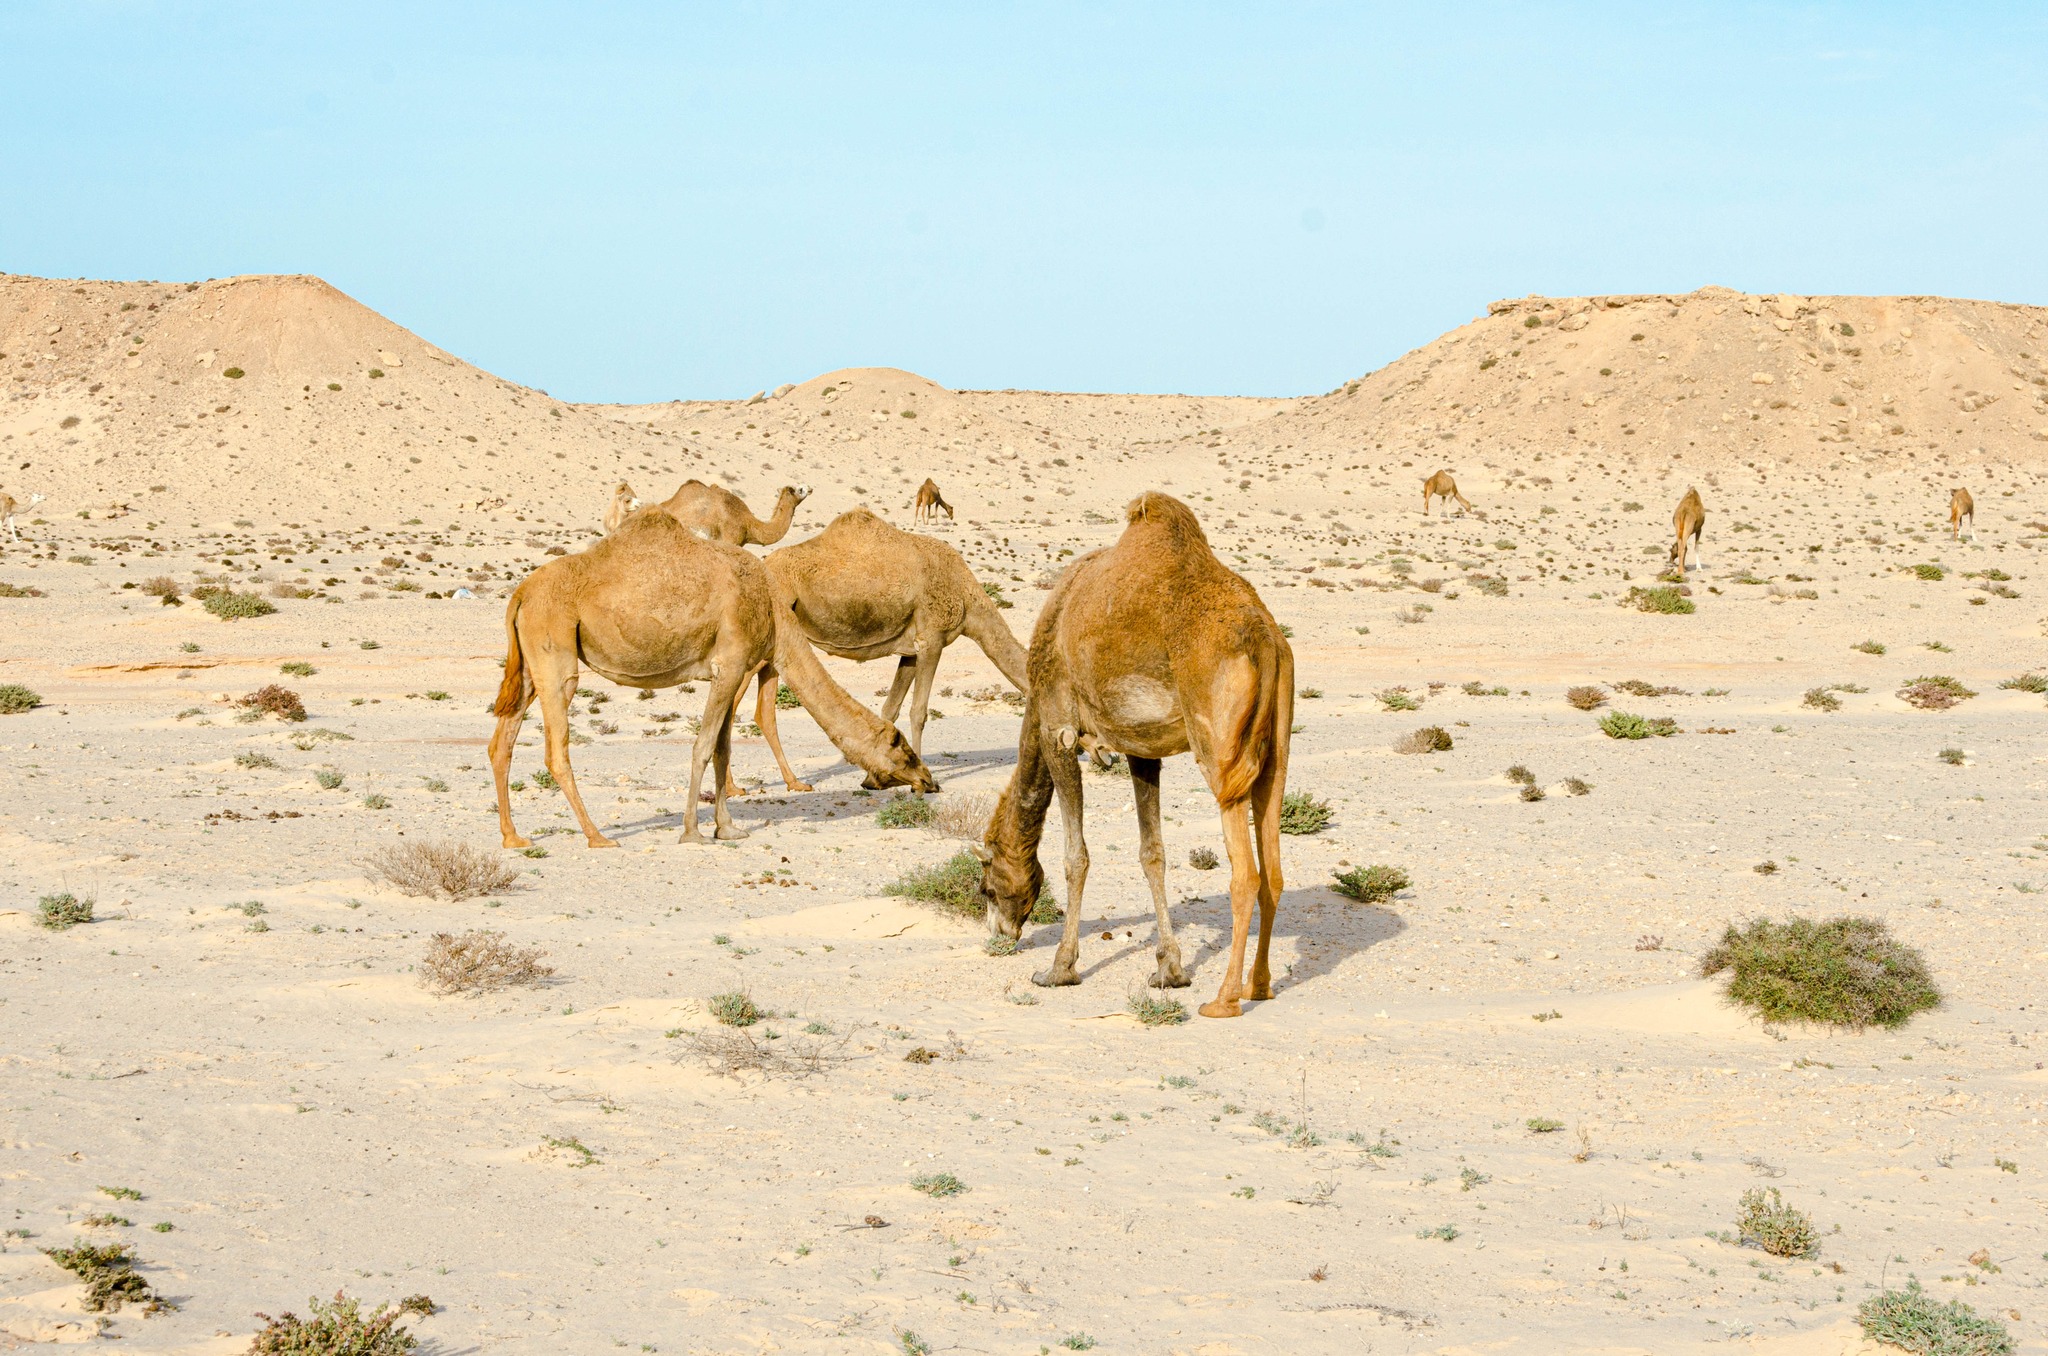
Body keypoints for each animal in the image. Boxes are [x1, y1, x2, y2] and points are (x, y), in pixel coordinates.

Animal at [483, 510, 933, 852]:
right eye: (904, 752)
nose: (929, 781)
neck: (772, 610)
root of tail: (520, 594)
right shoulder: (730, 665)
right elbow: (703, 748)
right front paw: (692, 832)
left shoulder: (734, 669)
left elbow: (722, 749)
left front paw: (727, 827)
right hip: (556, 653)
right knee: (556, 750)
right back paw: (598, 837)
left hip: (529, 665)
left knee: (502, 742)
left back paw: (513, 838)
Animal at [741, 507, 1032, 798]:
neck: (968, 601)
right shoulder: (932, 640)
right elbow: (918, 712)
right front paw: (927, 783)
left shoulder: (911, 650)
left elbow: (890, 708)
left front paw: (872, 779)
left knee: (762, 709)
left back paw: (792, 782)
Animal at [970, 491, 1286, 1020]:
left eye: (988, 884)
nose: (1001, 934)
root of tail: (1265, 639)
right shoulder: (1142, 747)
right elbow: (1152, 852)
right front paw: (1170, 971)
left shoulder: (1057, 728)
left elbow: (1076, 856)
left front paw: (1059, 969)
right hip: (1275, 753)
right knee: (1274, 867)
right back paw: (1259, 986)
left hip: (1218, 749)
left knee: (1245, 872)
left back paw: (1224, 999)